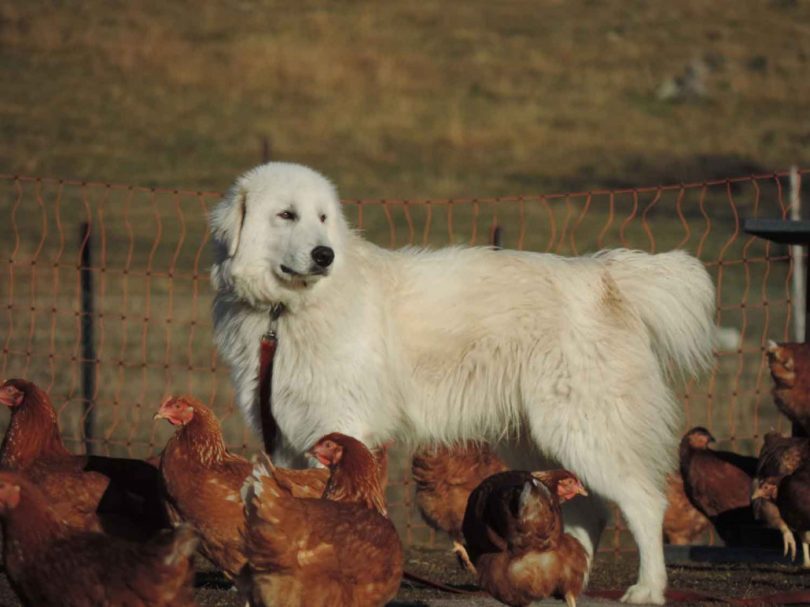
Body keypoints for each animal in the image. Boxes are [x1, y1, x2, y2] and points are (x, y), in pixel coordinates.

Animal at [208, 162, 712, 604]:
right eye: (286, 215)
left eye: (323, 219)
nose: (324, 255)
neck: (283, 314)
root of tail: (607, 276)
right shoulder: (287, 436)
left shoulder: (338, 426)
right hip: (536, 439)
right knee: (589, 510)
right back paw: (568, 581)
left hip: (585, 429)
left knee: (645, 503)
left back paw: (647, 589)